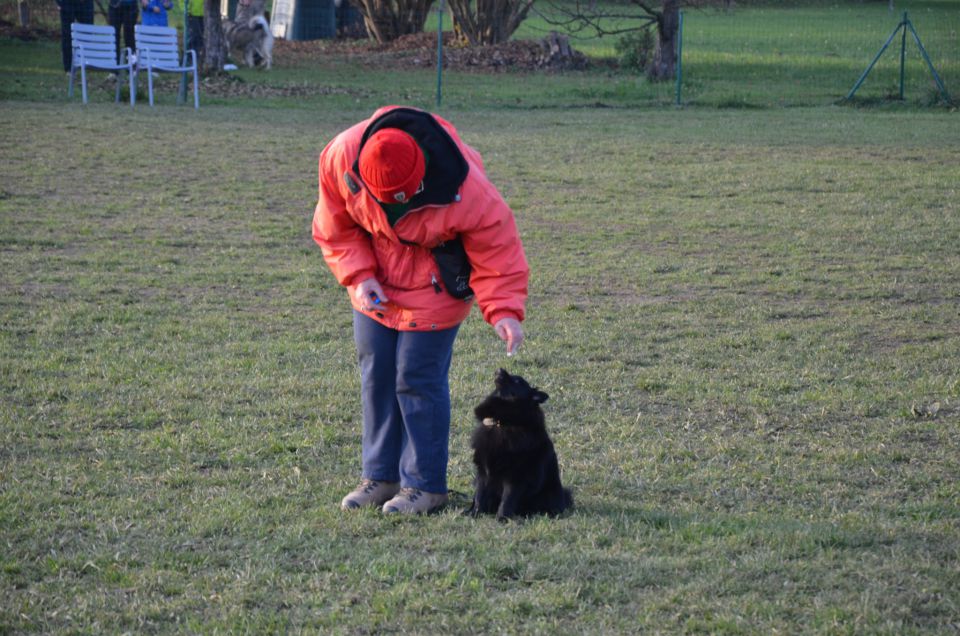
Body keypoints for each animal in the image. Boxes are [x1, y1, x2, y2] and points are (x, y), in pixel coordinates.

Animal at [466, 368, 572, 520]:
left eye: (517, 381)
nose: (499, 369)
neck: (502, 422)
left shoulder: (516, 476)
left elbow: (507, 499)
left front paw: (502, 518)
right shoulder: (483, 473)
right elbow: (480, 496)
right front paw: (475, 513)